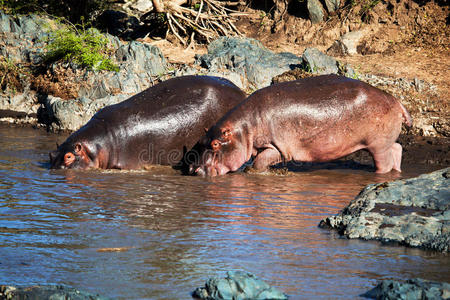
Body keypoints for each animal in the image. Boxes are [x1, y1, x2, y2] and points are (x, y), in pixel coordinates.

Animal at [189, 74, 412, 176]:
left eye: (216, 144)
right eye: (201, 140)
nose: (194, 169)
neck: (244, 129)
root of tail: (397, 101)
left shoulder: (278, 147)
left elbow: (260, 161)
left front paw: (253, 172)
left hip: (377, 145)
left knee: (384, 162)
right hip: (384, 142)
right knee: (397, 149)